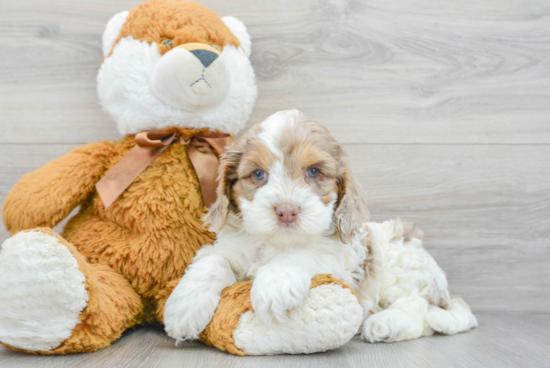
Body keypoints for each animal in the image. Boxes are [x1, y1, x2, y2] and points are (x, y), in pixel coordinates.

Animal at [165, 108, 478, 342]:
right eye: (258, 175)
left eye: (314, 172)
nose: (287, 211)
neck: (276, 242)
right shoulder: (228, 248)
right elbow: (212, 260)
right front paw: (184, 309)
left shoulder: (337, 262)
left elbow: (302, 255)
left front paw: (276, 283)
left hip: (401, 268)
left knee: (419, 309)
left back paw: (386, 323)